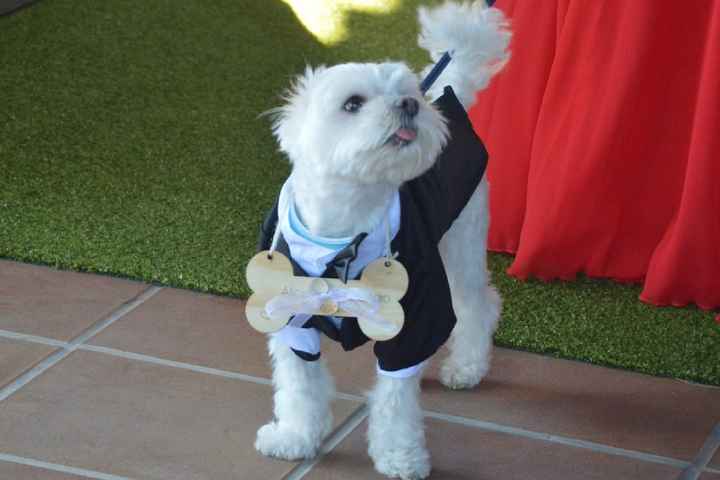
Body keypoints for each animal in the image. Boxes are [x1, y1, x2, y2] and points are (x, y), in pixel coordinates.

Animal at [253, 1, 512, 478]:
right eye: (352, 103)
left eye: (406, 93)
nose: (411, 103)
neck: (345, 224)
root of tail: (448, 95)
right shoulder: (290, 318)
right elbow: (300, 386)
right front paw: (295, 437)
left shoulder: (415, 317)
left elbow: (395, 401)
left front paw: (399, 455)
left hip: (461, 244)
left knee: (477, 305)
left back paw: (466, 365)